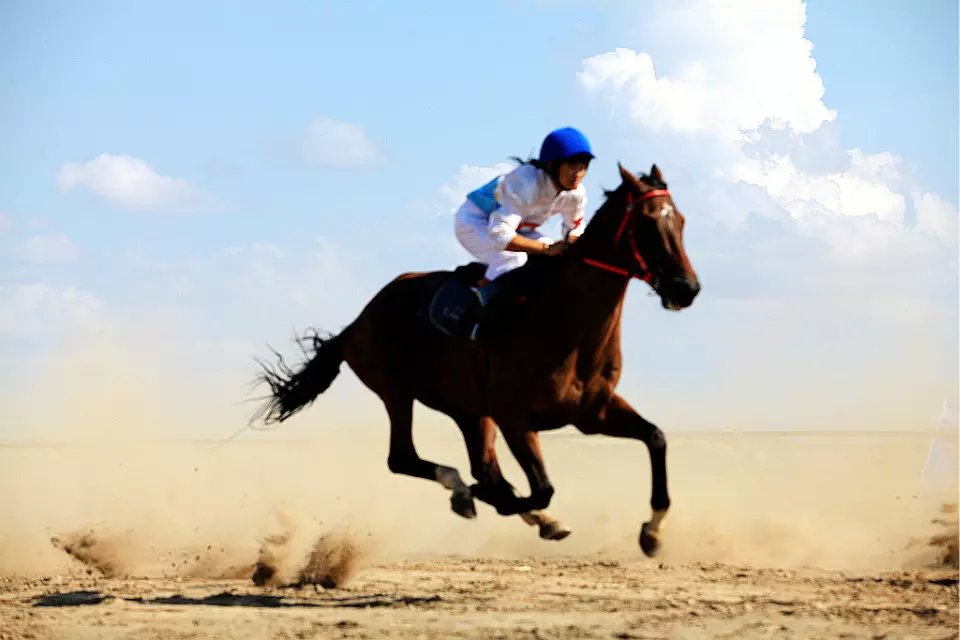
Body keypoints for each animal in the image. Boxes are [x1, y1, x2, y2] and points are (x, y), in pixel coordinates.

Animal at [256, 164, 696, 556]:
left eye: (681, 221)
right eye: (647, 225)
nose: (686, 288)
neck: (565, 323)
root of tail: (358, 322)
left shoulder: (593, 412)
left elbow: (655, 437)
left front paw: (652, 532)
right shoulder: (515, 417)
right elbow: (540, 489)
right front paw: (491, 500)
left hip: (468, 409)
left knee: (480, 465)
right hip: (397, 392)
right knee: (405, 458)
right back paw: (468, 494)